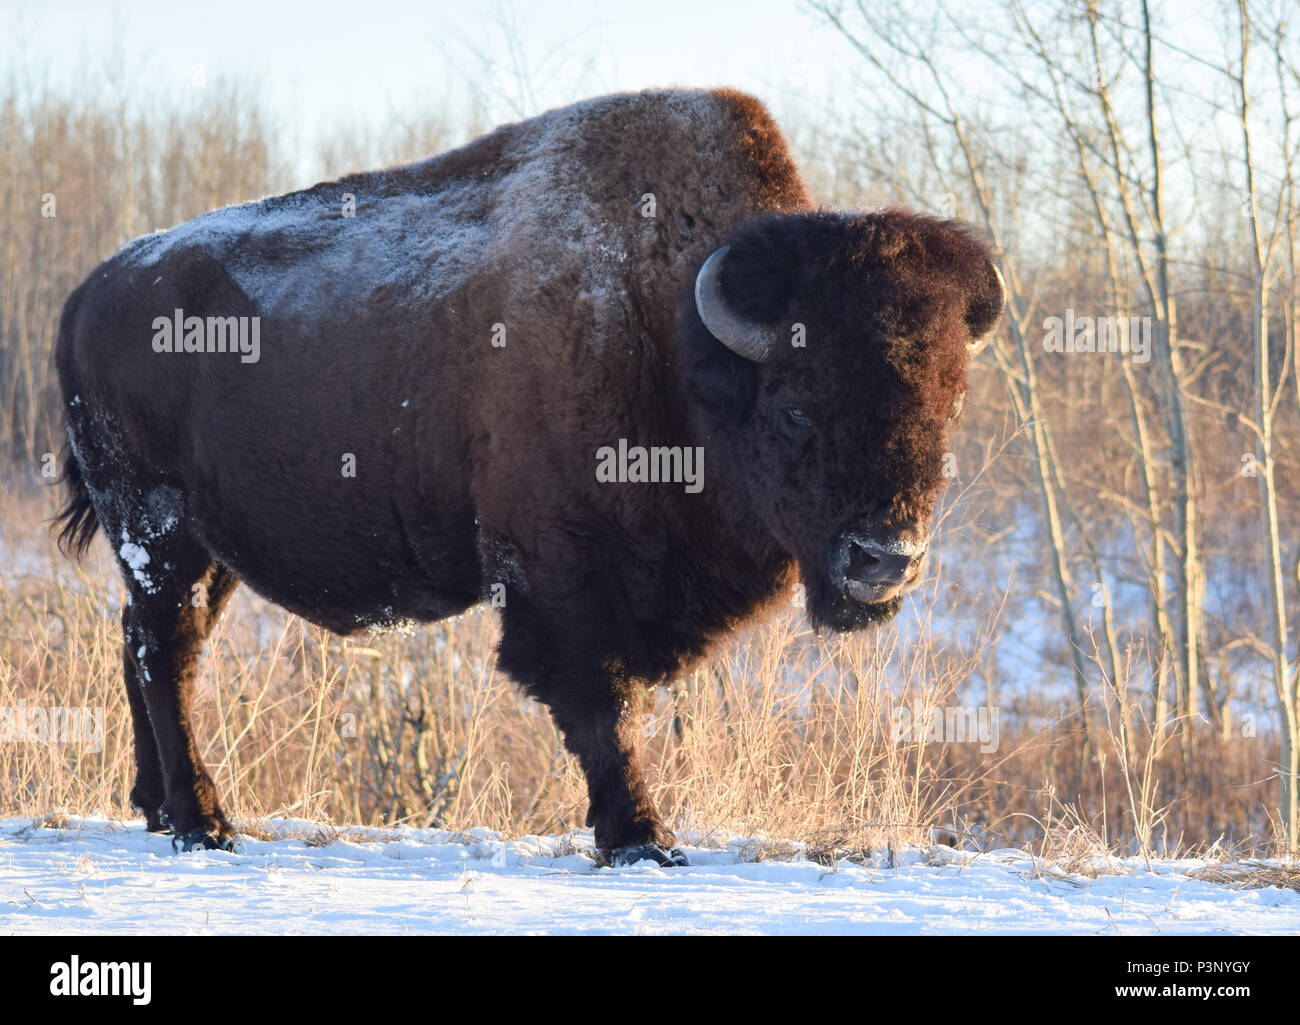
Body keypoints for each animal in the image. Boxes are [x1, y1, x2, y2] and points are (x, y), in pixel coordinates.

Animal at [53, 87, 1003, 863]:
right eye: (797, 408)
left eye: (949, 403)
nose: (885, 561)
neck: (670, 331)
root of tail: (87, 292)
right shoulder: (563, 575)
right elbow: (602, 705)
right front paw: (642, 838)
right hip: (158, 530)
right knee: (167, 652)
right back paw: (204, 822)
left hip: (206, 552)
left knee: (145, 645)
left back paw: (156, 808)